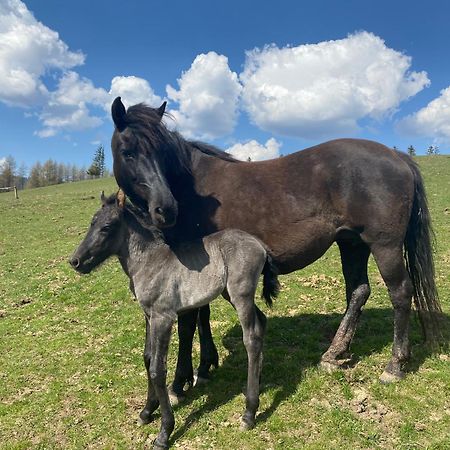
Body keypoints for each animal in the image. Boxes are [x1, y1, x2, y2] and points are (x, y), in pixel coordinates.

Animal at [71, 191, 280, 450]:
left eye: (106, 227)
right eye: (92, 222)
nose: (75, 261)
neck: (150, 262)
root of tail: (259, 244)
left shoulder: (163, 317)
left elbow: (157, 369)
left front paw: (164, 432)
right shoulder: (148, 316)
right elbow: (147, 358)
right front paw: (146, 411)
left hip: (240, 294)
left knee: (250, 337)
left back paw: (249, 412)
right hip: (229, 294)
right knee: (261, 323)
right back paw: (257, 382)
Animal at [110, 97, 442, 398]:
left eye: (161, 153)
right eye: (128, 152)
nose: (165, 209)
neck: (192, 188)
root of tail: (397, 156)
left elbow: (189, 322)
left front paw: (180, 383)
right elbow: (201, 316)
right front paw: (205, 367)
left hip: (384, 246)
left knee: (400, 292)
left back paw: (394, 365)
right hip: (352, 244)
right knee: (358, 291)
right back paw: (334, 353)